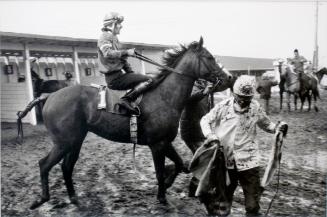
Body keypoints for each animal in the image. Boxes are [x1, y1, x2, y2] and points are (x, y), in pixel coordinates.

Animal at [28, 38, 233, 209]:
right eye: (210, 57)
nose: (229, 78)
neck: (164, 97)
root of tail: (50, 96)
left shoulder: (165, 142)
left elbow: (180, 163)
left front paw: (167, 184)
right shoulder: (157, 145)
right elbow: (160, 171)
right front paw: (162, 197)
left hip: (75, 141)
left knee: (66, 166)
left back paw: (74, 198)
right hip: (63, 143)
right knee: (44, 164)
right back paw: (42, 199)